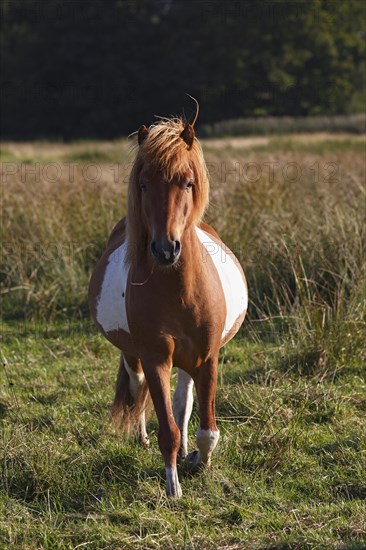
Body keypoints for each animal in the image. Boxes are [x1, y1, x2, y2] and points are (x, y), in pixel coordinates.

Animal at [88, 100, 247, 500]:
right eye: (144, 184)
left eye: (187, 182)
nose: (165, 249)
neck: (179, 291)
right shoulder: (156, 356)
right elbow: (167, 429)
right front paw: (173, 487)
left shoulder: (208, 358)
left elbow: (205, 427)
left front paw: (200, 462)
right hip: (134, 354)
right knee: (138, 388)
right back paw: (142, 439)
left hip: (190, 361)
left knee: (183, 402)